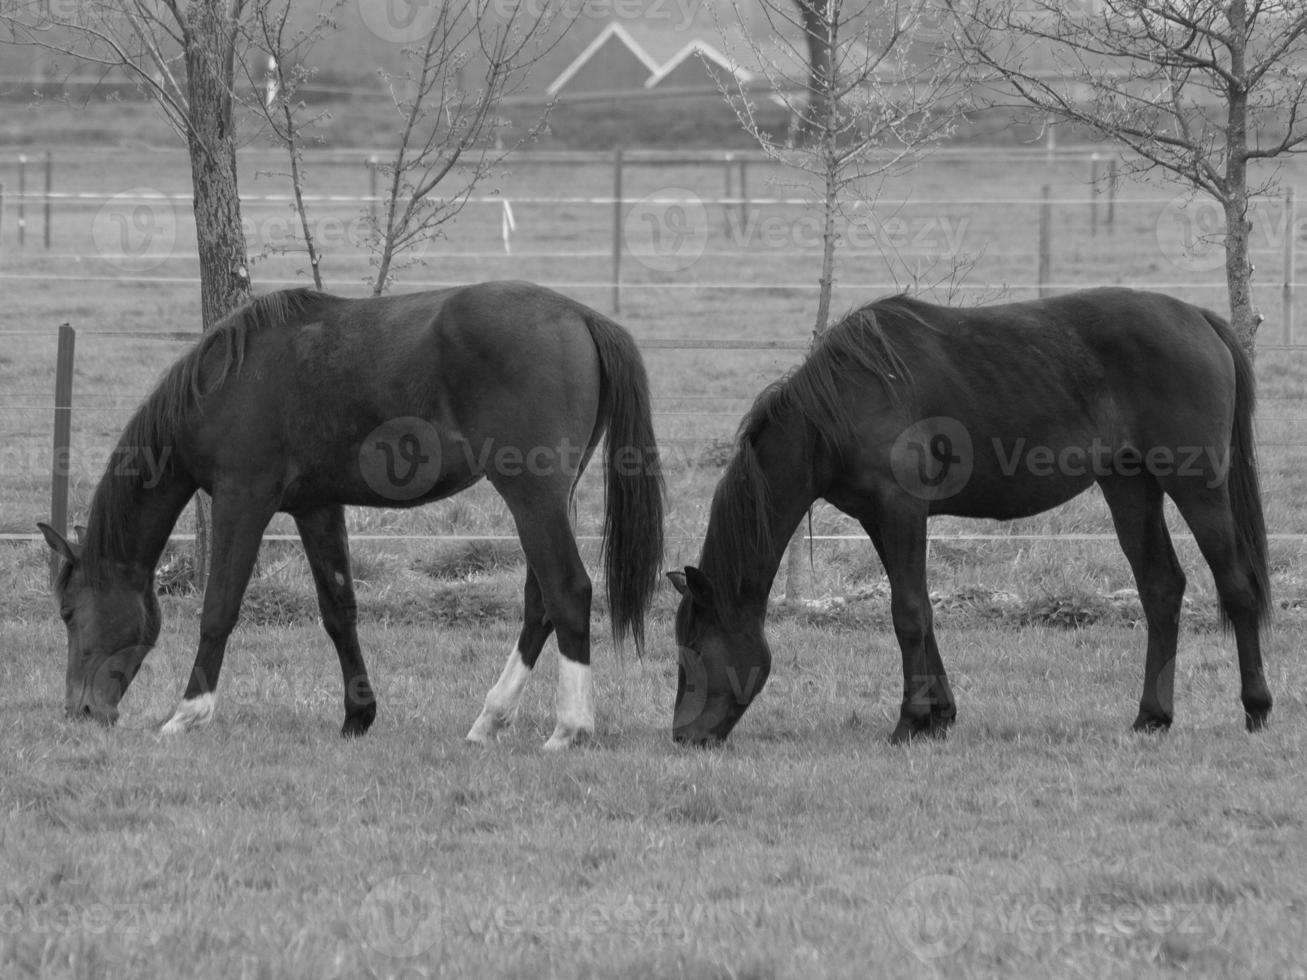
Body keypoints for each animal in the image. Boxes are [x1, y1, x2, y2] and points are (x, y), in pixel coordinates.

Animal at [39, 279, 663, 747]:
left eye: (68, 612)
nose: (79, 711)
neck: (226, 383)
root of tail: (580, 315)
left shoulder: (243, 500)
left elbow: (218, 608)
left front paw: (188, 713)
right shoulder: (316, 508)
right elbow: (339, 611)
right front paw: (358, 715)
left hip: (532, 497)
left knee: (567, 592)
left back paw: (569, 728)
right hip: (548, 501)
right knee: (540, 603)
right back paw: (489, 720)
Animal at [669, 287, 1270, 747]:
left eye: (692, 648)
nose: (683, 736)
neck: (842, 403)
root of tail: (1199, 319)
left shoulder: (901, 510)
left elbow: (907, 614)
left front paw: (909, 722)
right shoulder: (878, 520)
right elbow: (921, 610)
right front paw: (939, 716)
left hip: (1197, 486)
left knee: (1237, 586)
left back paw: (1256, 708)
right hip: (1129, 486)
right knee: (1161, 589)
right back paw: (1152, 717)